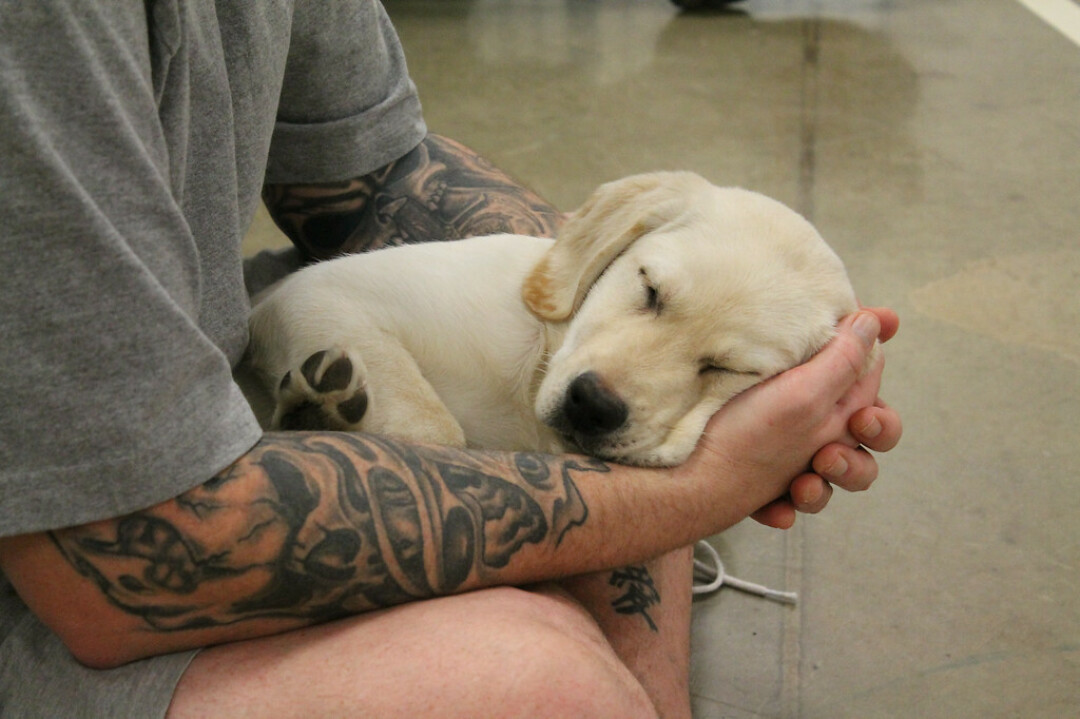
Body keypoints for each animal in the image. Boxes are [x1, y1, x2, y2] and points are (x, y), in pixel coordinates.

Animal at [245, 171, 859, 468]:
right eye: (649, 289)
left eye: (729, 369)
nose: (594, 406)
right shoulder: (312, 293)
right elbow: (436, 430)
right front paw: (318, 413)